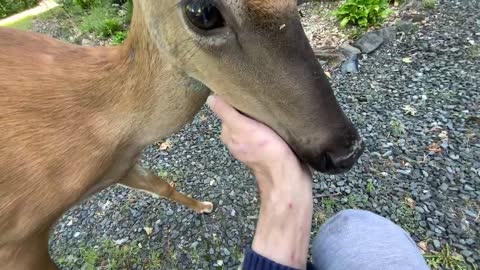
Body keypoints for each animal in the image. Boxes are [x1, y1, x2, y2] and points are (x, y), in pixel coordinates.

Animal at [0, 0, 364, 268]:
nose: (347, 150)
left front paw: (204, 205)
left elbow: (162, 185)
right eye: (203, 12)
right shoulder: (18, 239)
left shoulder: (122, 165)